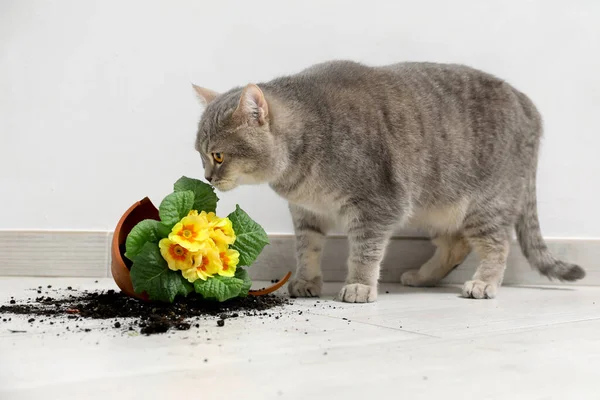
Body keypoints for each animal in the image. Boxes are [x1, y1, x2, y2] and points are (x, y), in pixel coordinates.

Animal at [193, 61, 584, 302]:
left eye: (218, 156)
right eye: (200, 153)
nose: (207, 177)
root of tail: (528, 105)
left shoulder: (378, 206)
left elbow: (365, 252)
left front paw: (358, 286)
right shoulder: (307, 213)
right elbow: (307, 249)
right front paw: (307, 281)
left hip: (486, 205)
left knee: (496, 245)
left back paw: (484, 282)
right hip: (434, 208)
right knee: (455, 245)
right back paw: (423, 276)